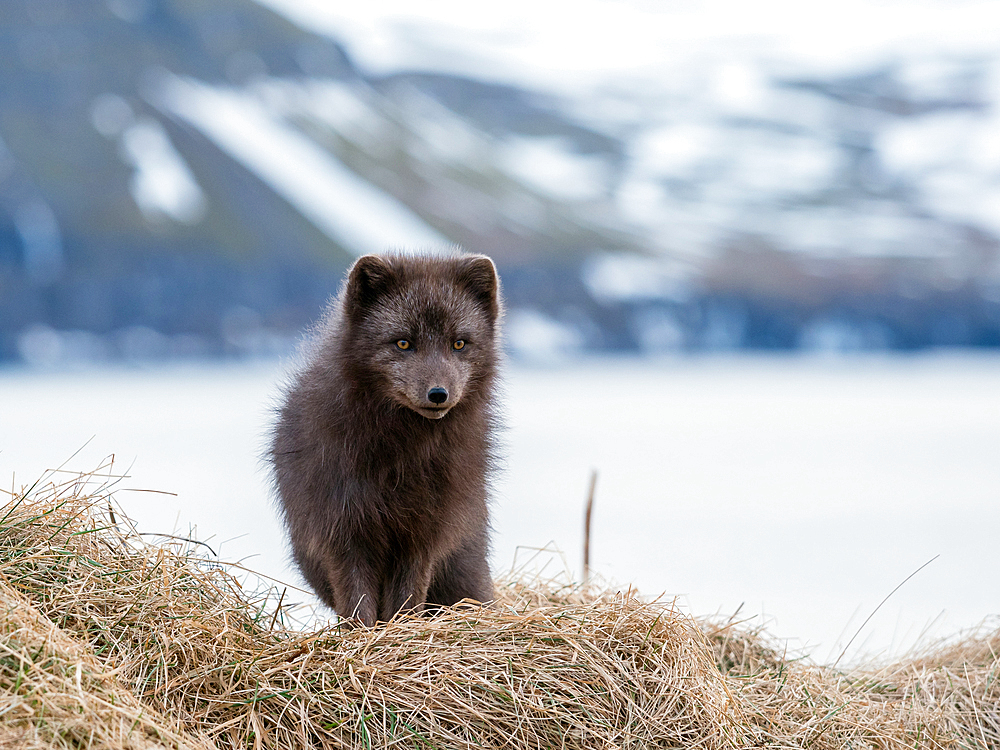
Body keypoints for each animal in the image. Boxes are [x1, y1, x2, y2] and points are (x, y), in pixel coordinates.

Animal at [270, 253, 500, 628]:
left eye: (459, 343)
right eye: (403, 342)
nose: (439, 394)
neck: (402, 456)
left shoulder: (423, 534)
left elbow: (407, 597)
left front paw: (402, 630)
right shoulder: (343, 529)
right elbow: (357, 599)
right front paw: (361, 635)